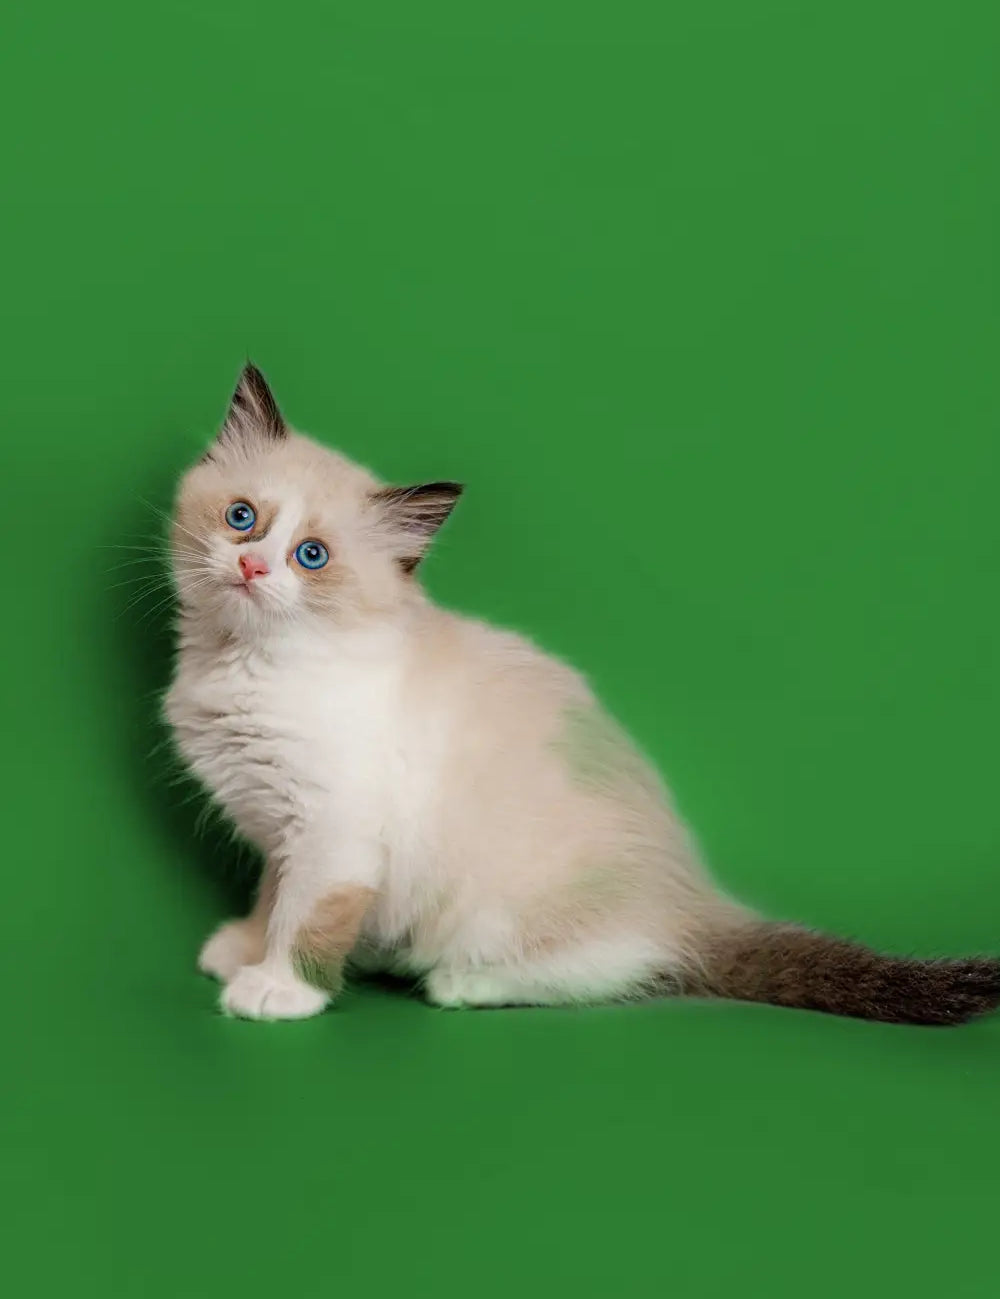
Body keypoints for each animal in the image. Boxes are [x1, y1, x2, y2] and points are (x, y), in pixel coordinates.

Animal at [165, 366, 997, 1023]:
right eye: (242, 517)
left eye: (311, 556)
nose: (252, 568)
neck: (246, 664)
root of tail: (689, 889)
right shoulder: (280, 831)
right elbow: (273, 898)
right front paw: (242, 949)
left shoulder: (333, 832)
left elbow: (306, 919)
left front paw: (279, 989)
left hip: (499, 907)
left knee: (627, 965)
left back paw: (462, 983)